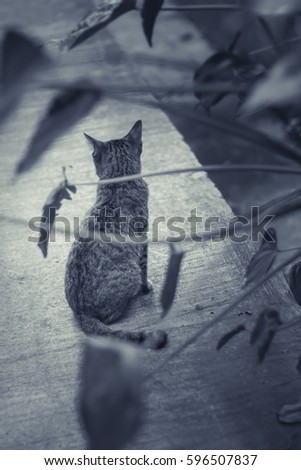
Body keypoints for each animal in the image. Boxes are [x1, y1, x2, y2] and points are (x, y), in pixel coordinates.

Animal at [64, 121, 166, 348]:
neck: (118, 178)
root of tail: (80, 312)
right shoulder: (141, 235)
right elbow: (144, 265)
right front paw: (145, 287)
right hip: (129, 271)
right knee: (111, 316)